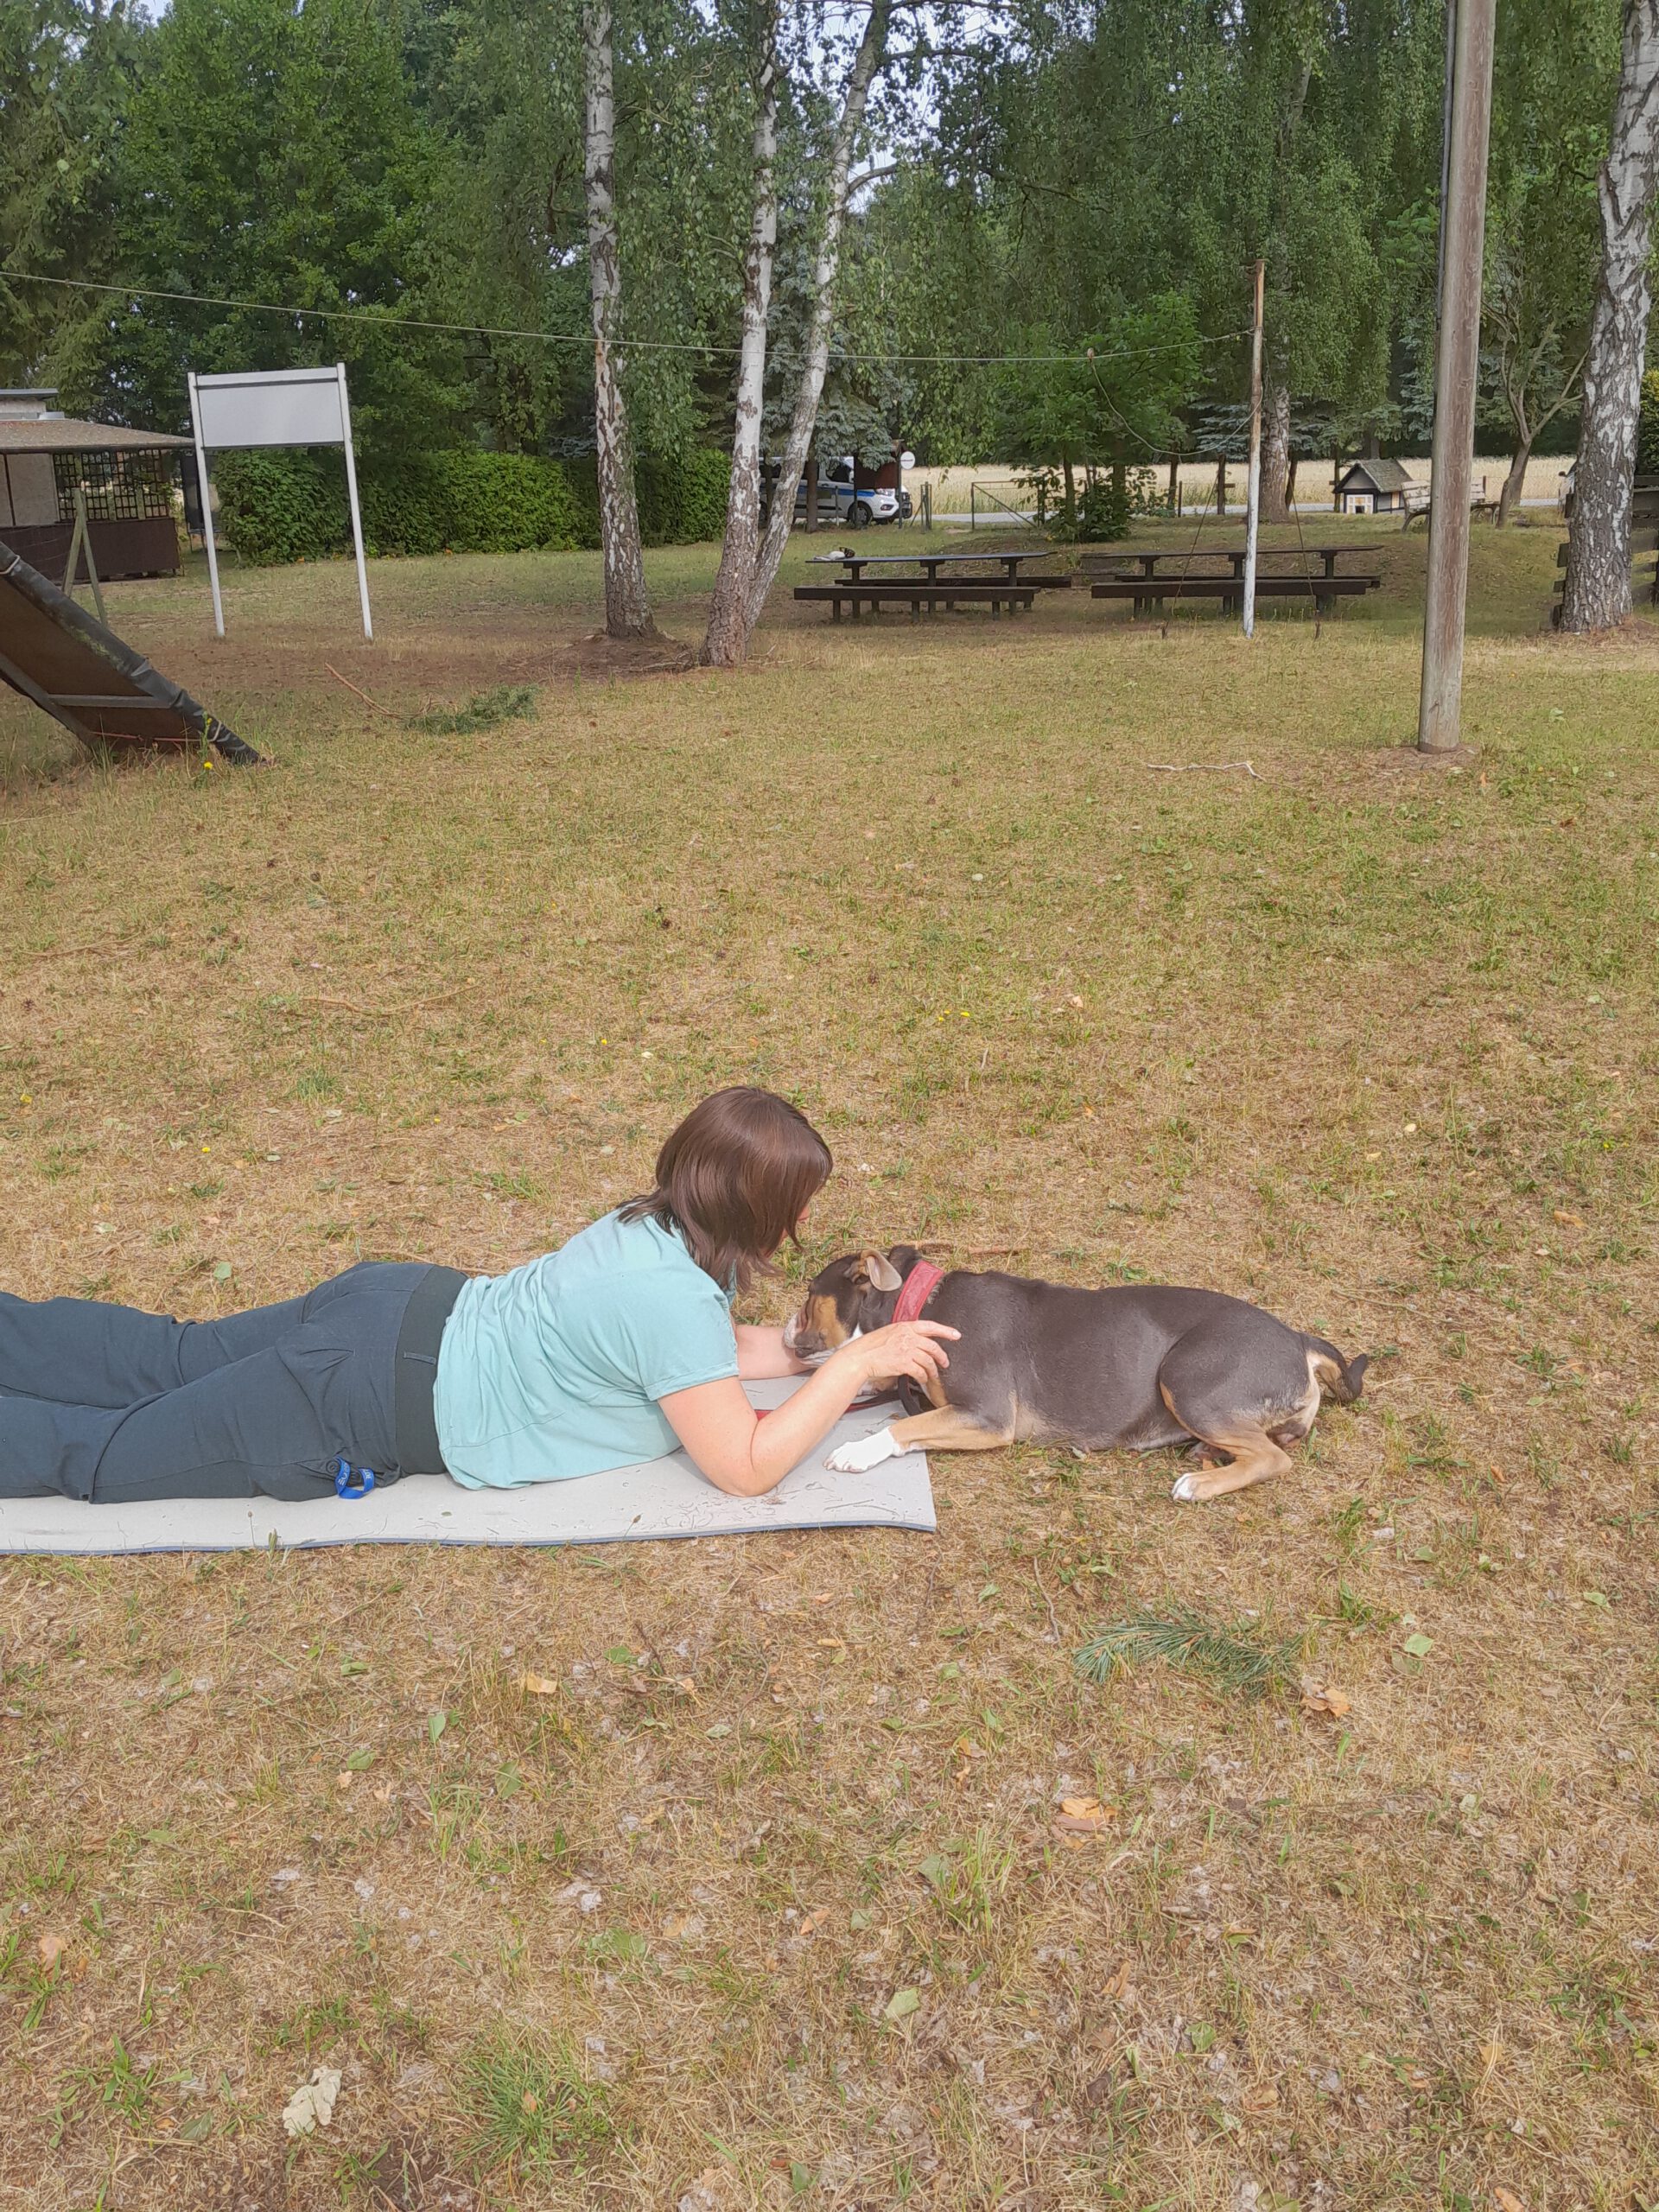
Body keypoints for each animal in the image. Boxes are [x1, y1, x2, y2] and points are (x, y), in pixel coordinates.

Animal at [784, 1246, 1368, 1503]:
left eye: (809, 1298)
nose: (787, 1327)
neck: (919, 1304)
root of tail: (1297, 1339)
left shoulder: (986, 1416)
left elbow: (903, 1425)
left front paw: (857, 1451)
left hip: (1188, 1378)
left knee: (1272, 1459)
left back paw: (1200, 1483)